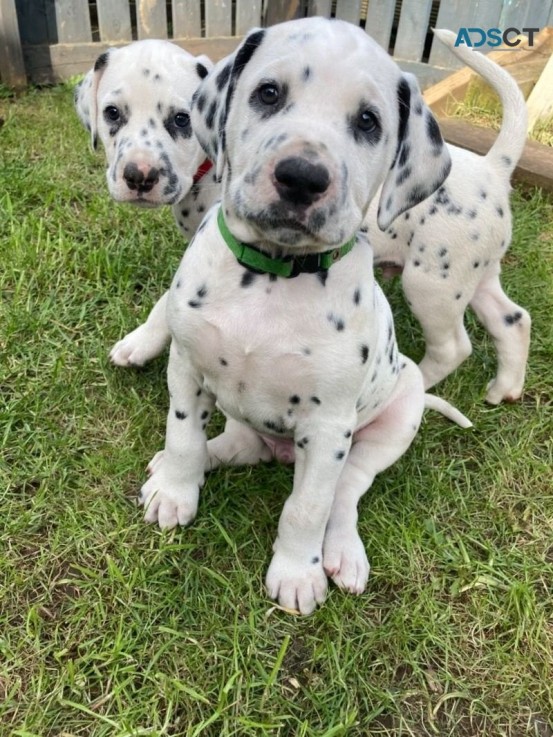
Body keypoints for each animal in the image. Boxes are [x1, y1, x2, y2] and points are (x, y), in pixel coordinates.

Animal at [104, 30, 532, 402]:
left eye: (180, 119)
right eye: (113, 115)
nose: (139, 176)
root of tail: (493, 168)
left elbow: (168, 300)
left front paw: (138, 343)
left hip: (431, 284)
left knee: (453, 347)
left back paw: (413, 387)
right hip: (473, 276)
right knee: (513, 319)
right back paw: (506, 387)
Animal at [137, 18, 470, 616]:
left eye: (368, 121)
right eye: (268, 93)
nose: (301, 177)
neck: (273, 275)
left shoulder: (328, 423)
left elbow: (308, 507)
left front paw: (297, 573)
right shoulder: (187, 368)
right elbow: (183, 437)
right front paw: (175, 491)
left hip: (392, 420)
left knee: (344, 493)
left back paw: (343, 554)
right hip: (244, 422)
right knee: (229, 446)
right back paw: (193, 464)